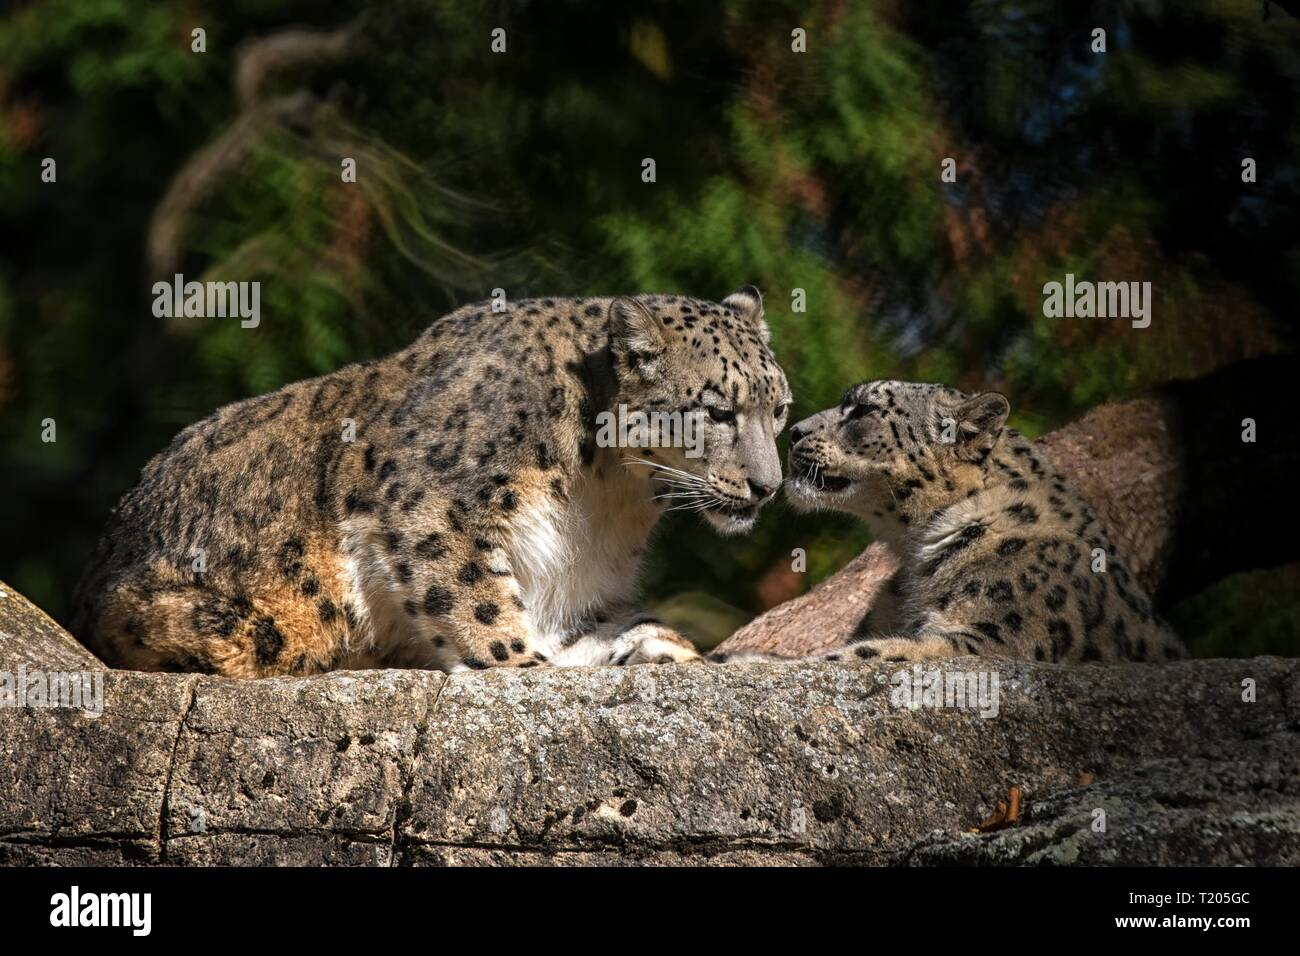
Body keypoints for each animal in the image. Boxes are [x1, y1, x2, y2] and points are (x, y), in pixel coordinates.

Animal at [73, 287, 790, 676]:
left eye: (779, 407)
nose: (767, 487)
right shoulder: (436, 501)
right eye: (718, 411)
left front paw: (658, 644)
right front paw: (524, 663)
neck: (609, 499)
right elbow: (477, 601)